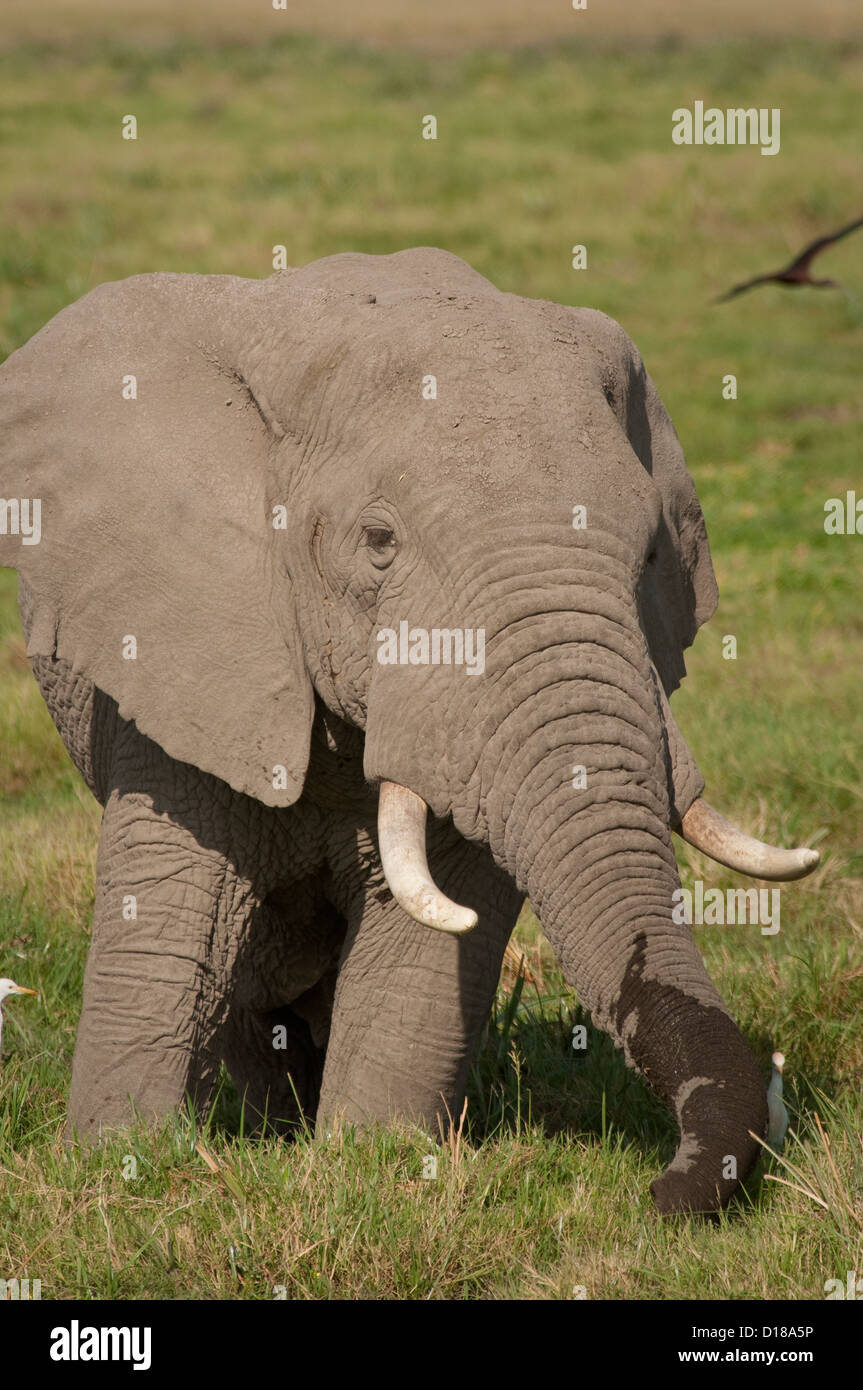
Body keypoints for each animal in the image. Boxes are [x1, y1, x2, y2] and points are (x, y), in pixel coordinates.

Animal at [0, 247, 817, 1206]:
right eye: (377, 542)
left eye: (652, 551)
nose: (657, 1189)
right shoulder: (191, 649)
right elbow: (179, 906)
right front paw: (120, 1159)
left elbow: (438, 922)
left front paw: (374, 1159)